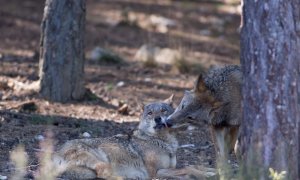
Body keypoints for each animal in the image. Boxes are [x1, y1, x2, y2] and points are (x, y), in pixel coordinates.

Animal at [52, 95, 180, 179]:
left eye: (163, 110)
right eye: (150, 113)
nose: (157, 118)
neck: (164, 142)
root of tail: (56, 152)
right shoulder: (155, 172)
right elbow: (183, 170)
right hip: (98, 159)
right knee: (104, 173)